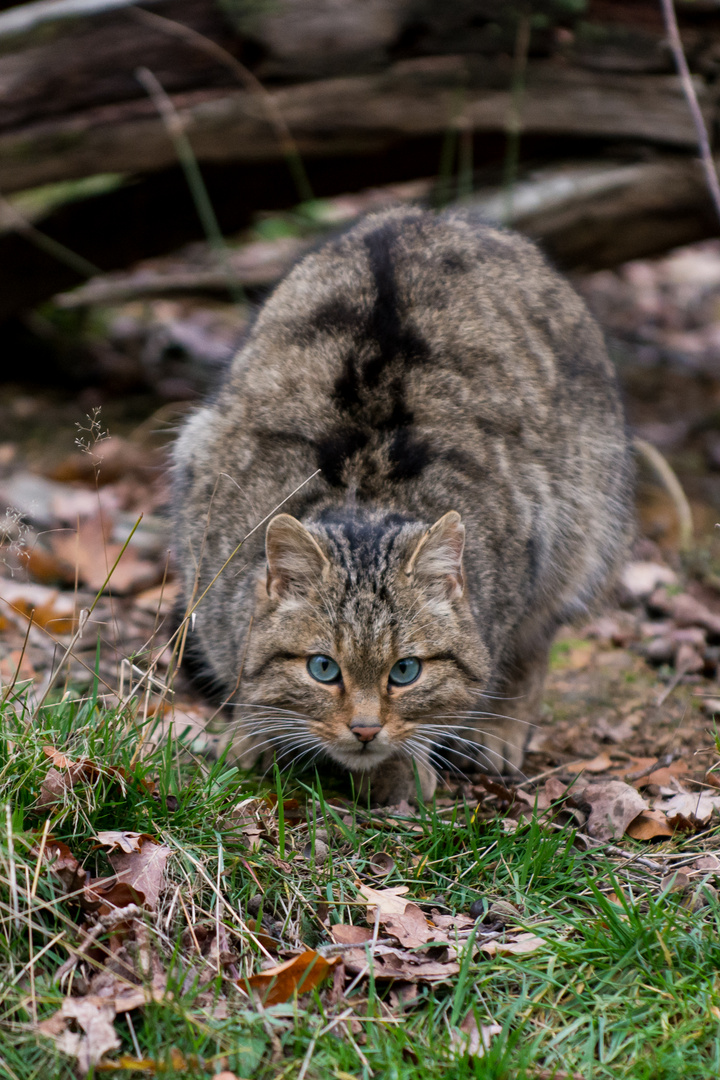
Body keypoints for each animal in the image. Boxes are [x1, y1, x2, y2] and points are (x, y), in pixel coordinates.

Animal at [172, 208, 630, 803]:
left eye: (405, 671)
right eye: (324, 668)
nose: (365, 730)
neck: (366, 497)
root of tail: (426, 215)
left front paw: (402, 766)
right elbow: (245, 677)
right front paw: (252, 731)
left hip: (583, 526)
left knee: (536, 641)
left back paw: (499, 733)